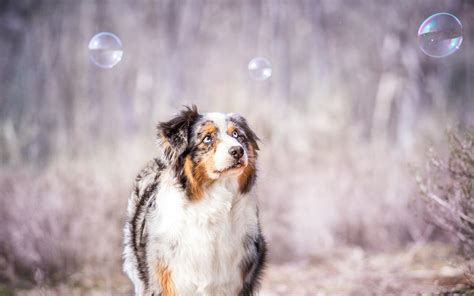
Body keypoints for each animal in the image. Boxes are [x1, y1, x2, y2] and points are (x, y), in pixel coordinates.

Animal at [122, 106, 266, 296]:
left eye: (237, 135)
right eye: (207, 138)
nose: (238, 150)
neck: (213, 202)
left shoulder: (235, 281)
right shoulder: (165, 279)